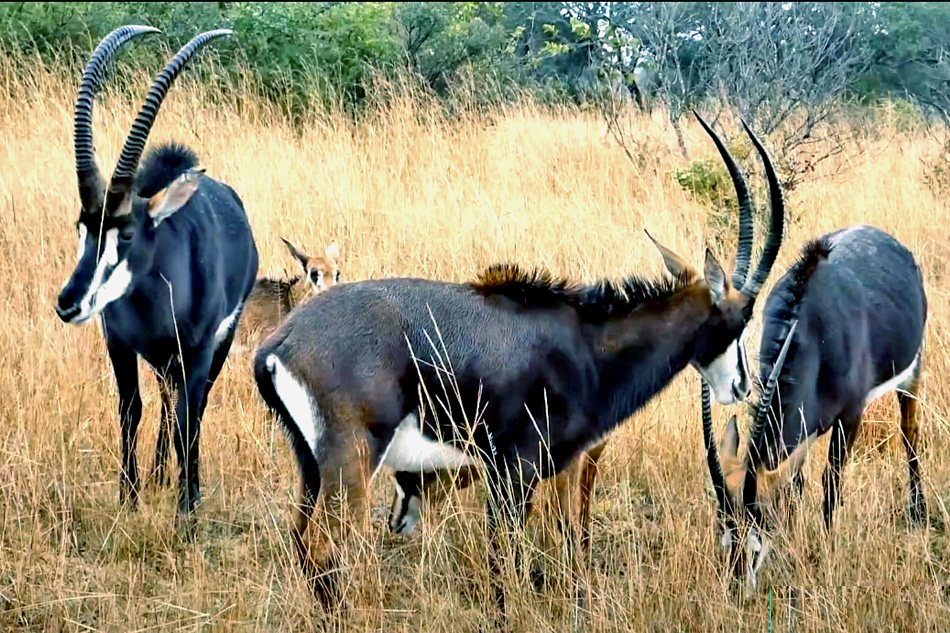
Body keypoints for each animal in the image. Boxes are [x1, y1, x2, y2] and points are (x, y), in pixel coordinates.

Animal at [52, 28, 258, 532]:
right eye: (82, 226)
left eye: (125, 232)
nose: (69, 303)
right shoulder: (119, 345)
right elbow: (131, 410)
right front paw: (129, 497)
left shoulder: (200, 349)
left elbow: (189, 417)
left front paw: (188, 510)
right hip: (164, 358)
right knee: (166, 398)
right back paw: (162, 474)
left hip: (213, 347)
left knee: (191, 406)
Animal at [251, 112, 788, 616]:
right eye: (742, 317)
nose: (742, 386)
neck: (586, 343)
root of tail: (281, 343)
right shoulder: (517, 472)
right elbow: (506, 564)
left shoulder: (544, 470)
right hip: (352, 463)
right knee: (322, 544)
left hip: (311, 468)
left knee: (301, 542)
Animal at [704, 223, 932, 592]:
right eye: (724, 530)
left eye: (759, 523)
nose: (738, 588)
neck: (812, 330)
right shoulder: (801, 432)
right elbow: (795, 485)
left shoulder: (850, 416)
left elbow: (831, 482)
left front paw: (826, 548)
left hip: (911, 371)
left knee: (909, 432)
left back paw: (918, 512)